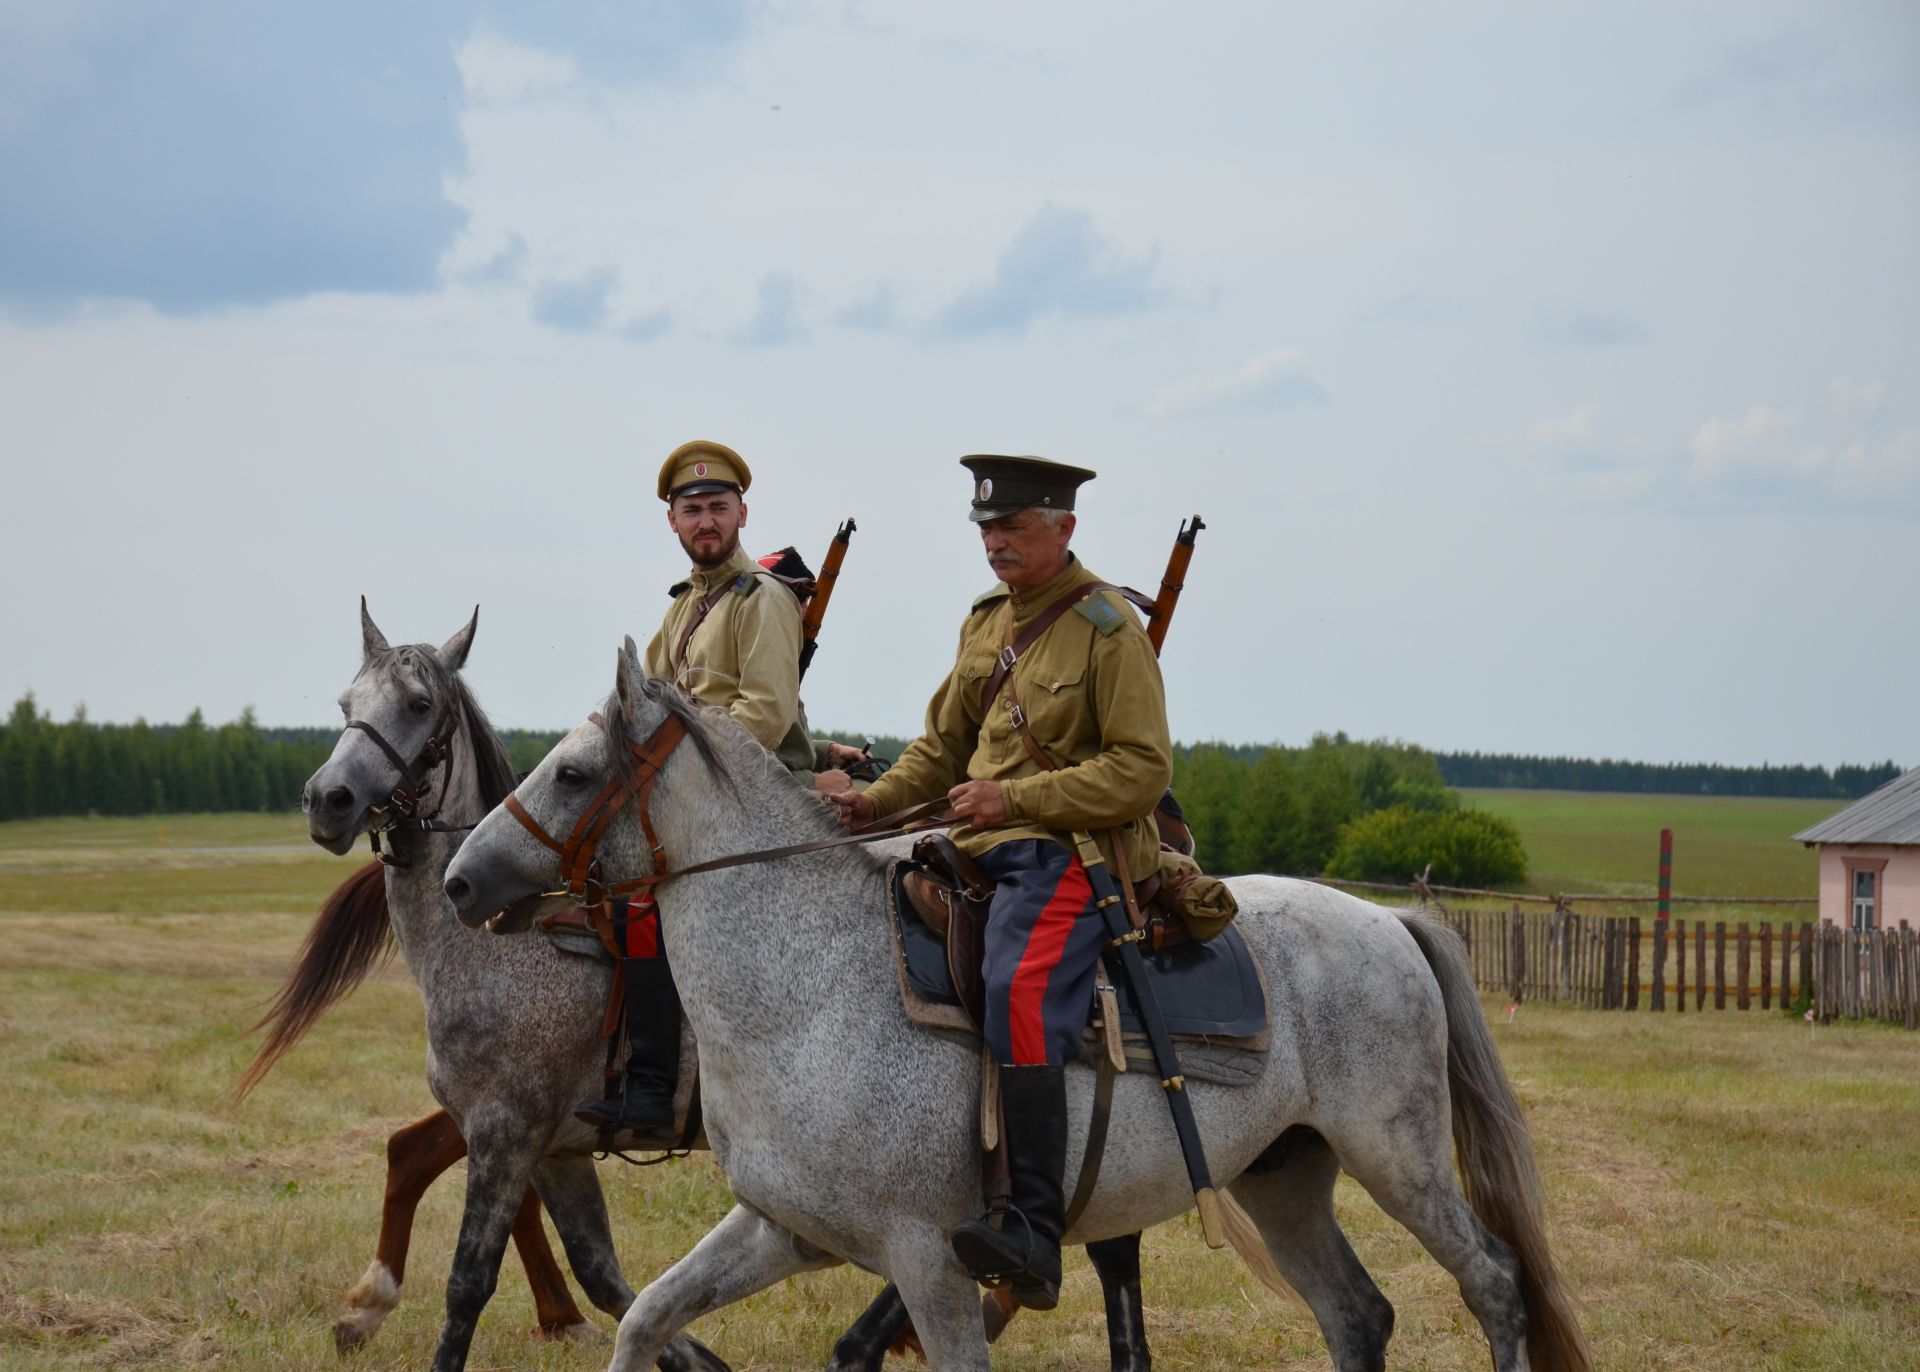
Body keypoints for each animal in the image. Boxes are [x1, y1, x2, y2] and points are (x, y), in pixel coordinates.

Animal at [445, 648, 1589, 1372]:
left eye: (574, 772)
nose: (460, 880)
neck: (805, 992)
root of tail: (1390, 922)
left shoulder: (930, 1265)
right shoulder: (780, 1229)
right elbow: (643, 1319)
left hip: (1397, 1156)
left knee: (1494, 1283)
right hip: (1284, 1177)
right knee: (1358, 1316)